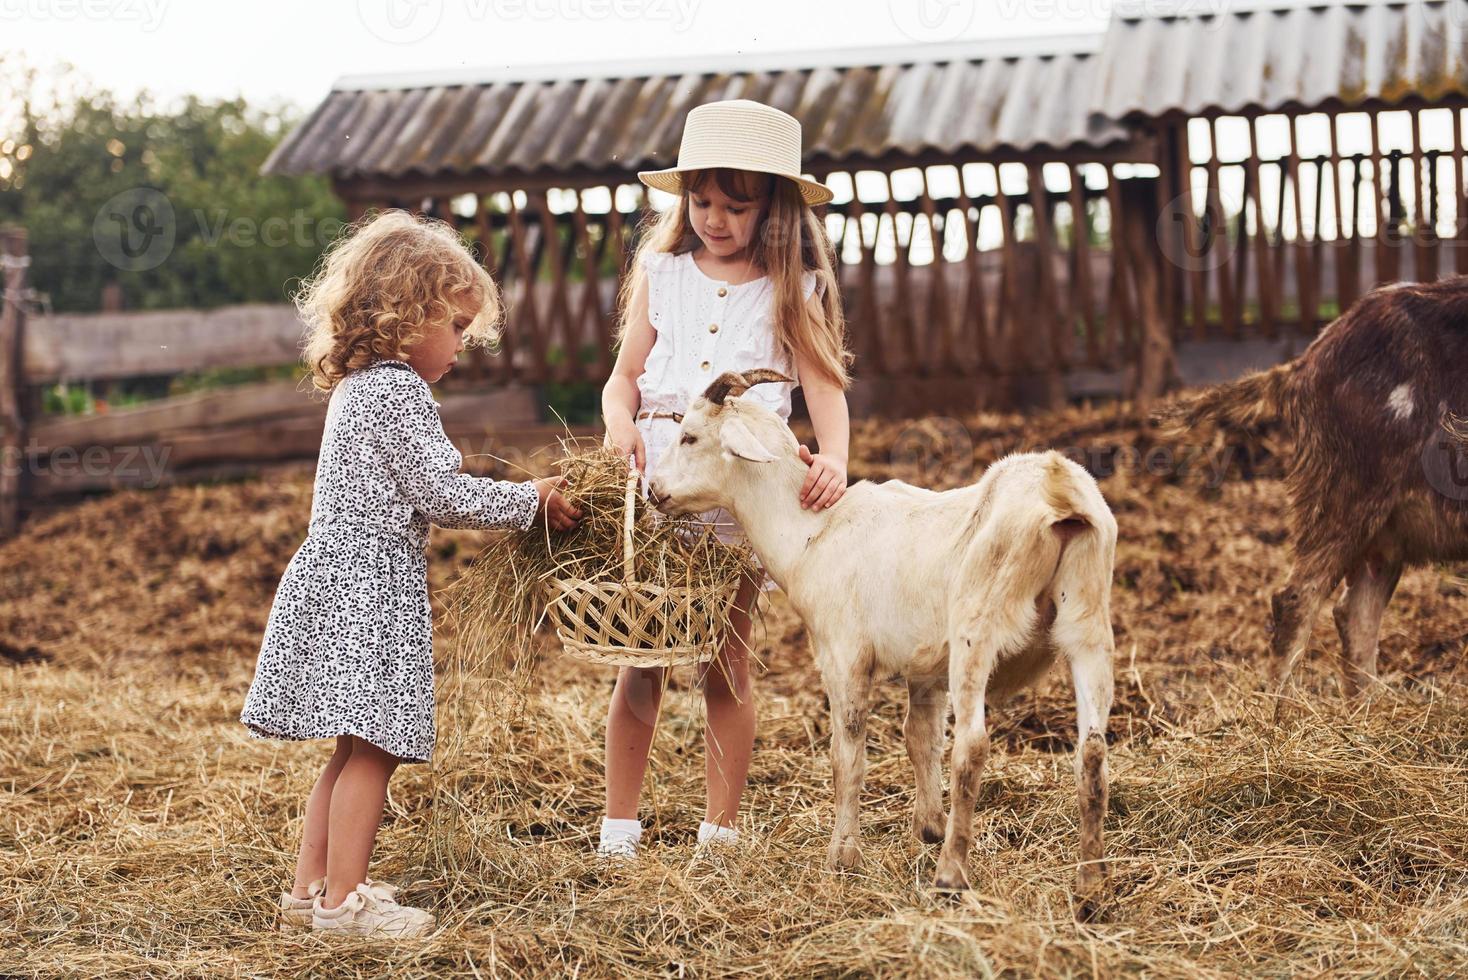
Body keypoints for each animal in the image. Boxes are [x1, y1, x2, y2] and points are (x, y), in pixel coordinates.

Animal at [648, 369, 1115, 903]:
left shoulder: (843, 655)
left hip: (979, 627)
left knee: (972, 745)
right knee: (1093, 749)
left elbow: (847, 754)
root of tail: (1057, 492)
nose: (653, 490)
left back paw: (951, 875)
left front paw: (843, 856)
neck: (812, 532)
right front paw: (928, 827)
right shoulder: (926, 667)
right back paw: (1091, 885)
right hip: (1088, 622)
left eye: (689, 437)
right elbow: (921, 737)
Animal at [1156, 277, 1468, 695]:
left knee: (1353, 612)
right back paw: (1280, 709)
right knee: (1296, 599)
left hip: (1383, 531)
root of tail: (1305, 364)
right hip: (1348, 493)